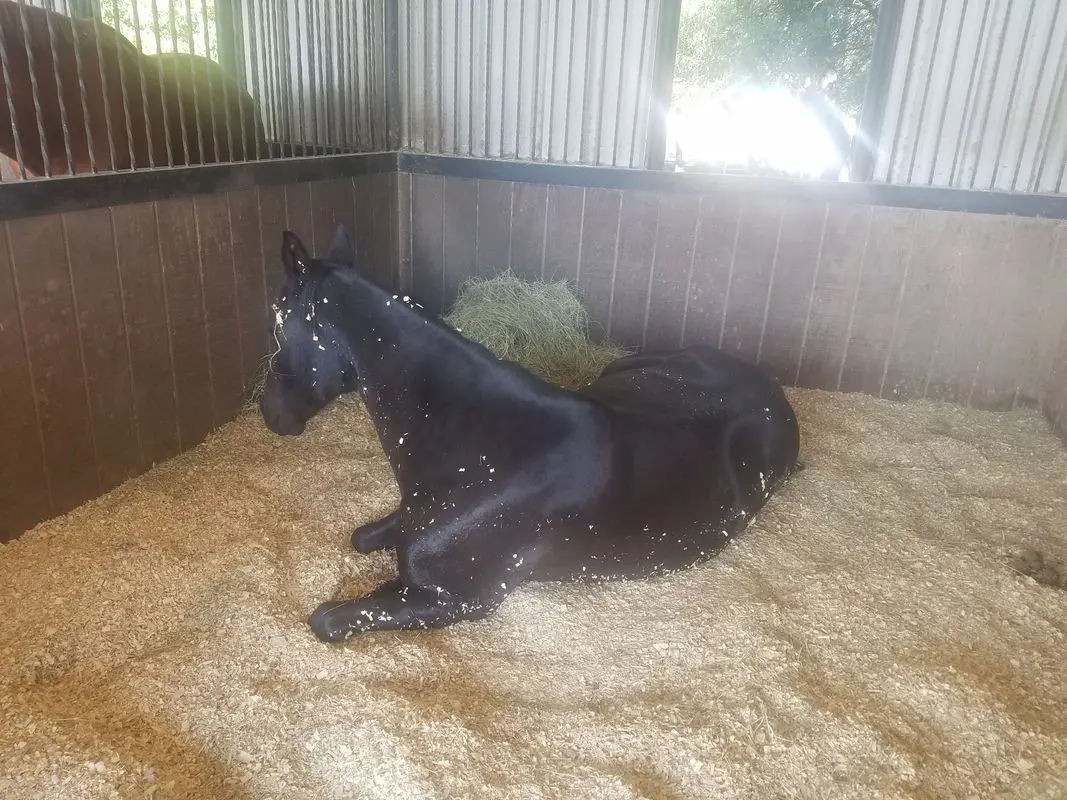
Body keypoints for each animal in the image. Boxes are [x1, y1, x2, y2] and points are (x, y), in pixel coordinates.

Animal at [258, 226, 798, 644]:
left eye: (278, 323)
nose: (269, 414)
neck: (487, 450)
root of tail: (772, 391)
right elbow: (364, 536)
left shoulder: (456, 600)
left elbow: (327, 620)